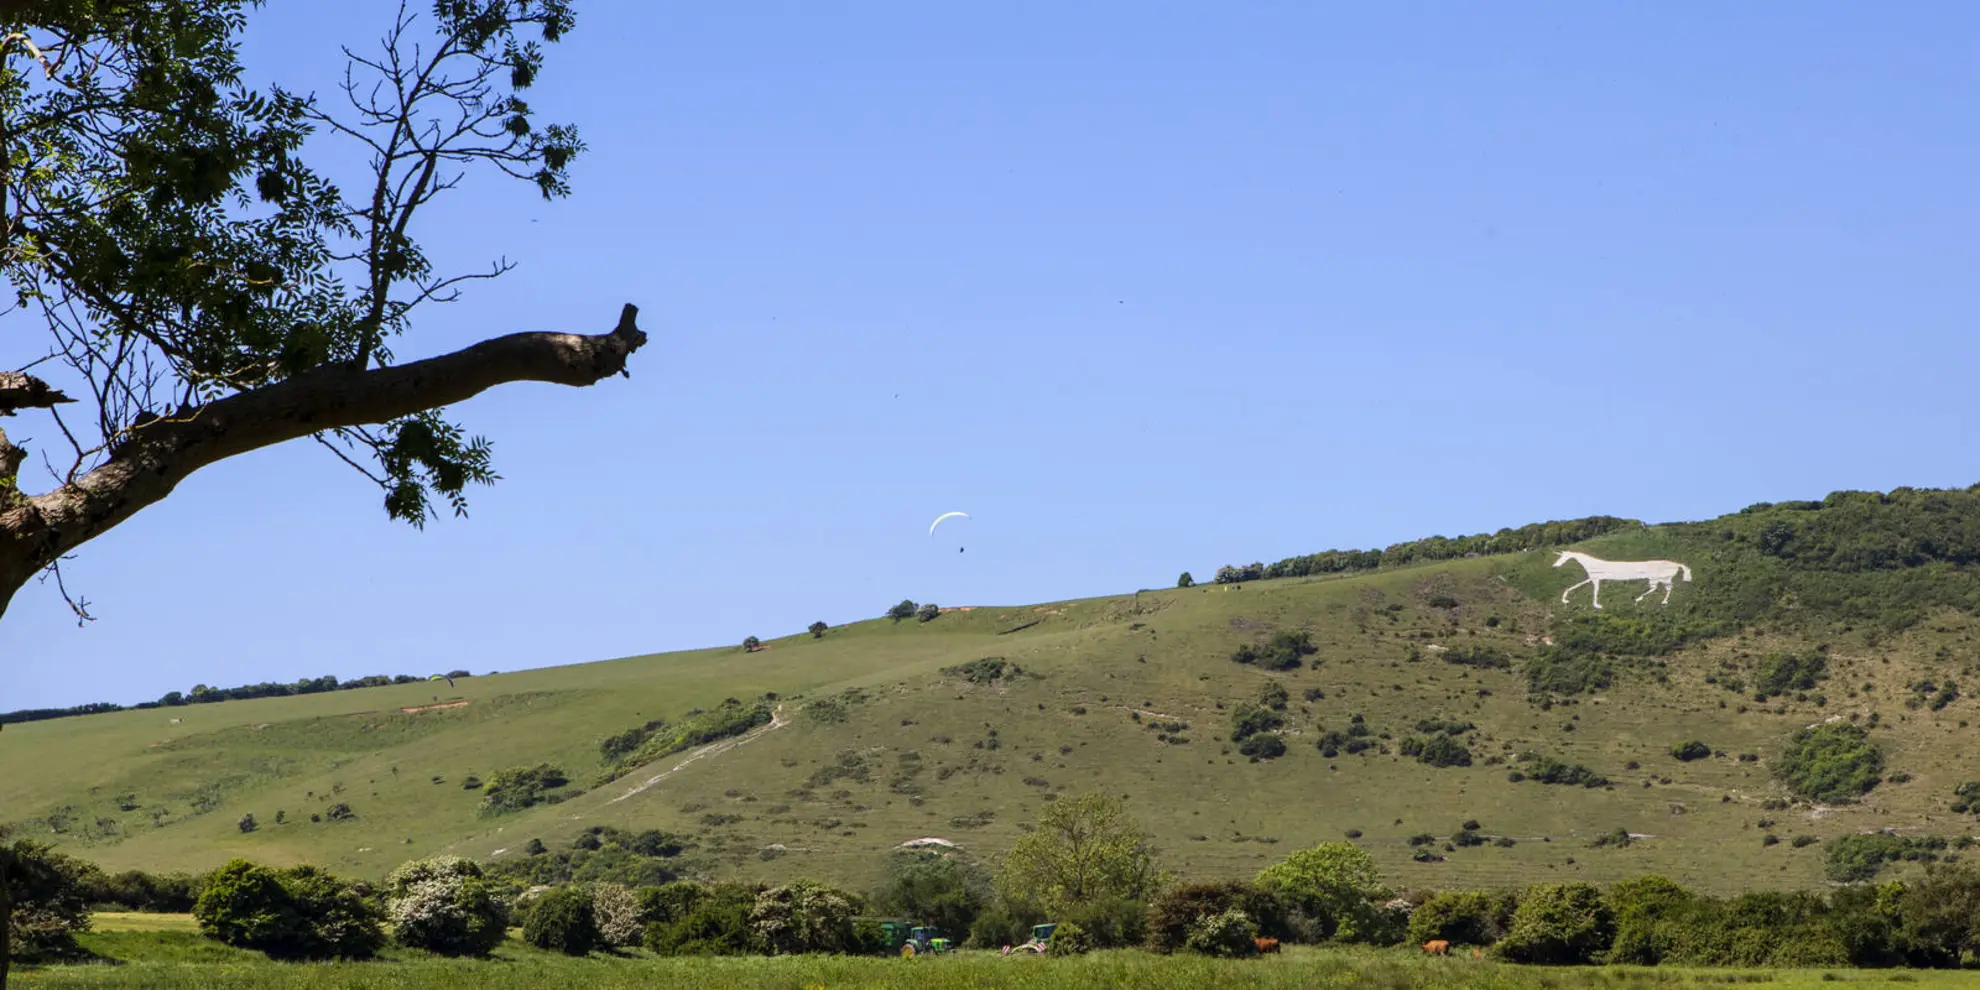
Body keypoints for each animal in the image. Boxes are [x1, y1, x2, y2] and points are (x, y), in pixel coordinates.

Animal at [1553, 550, 1692, 609]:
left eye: (1563, 557)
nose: (1555, 565)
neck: (1592, 564)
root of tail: (1676, 564)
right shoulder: (1592, 578)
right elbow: (1575, 586)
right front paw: (1565, 599)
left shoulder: (1596, 579)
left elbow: (1595, 591)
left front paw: (1597, 605)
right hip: (1660, 579)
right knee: (1665, 588)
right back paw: (1661, 601)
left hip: (1659, 578)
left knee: (1661, 588)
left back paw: (1639, 599)